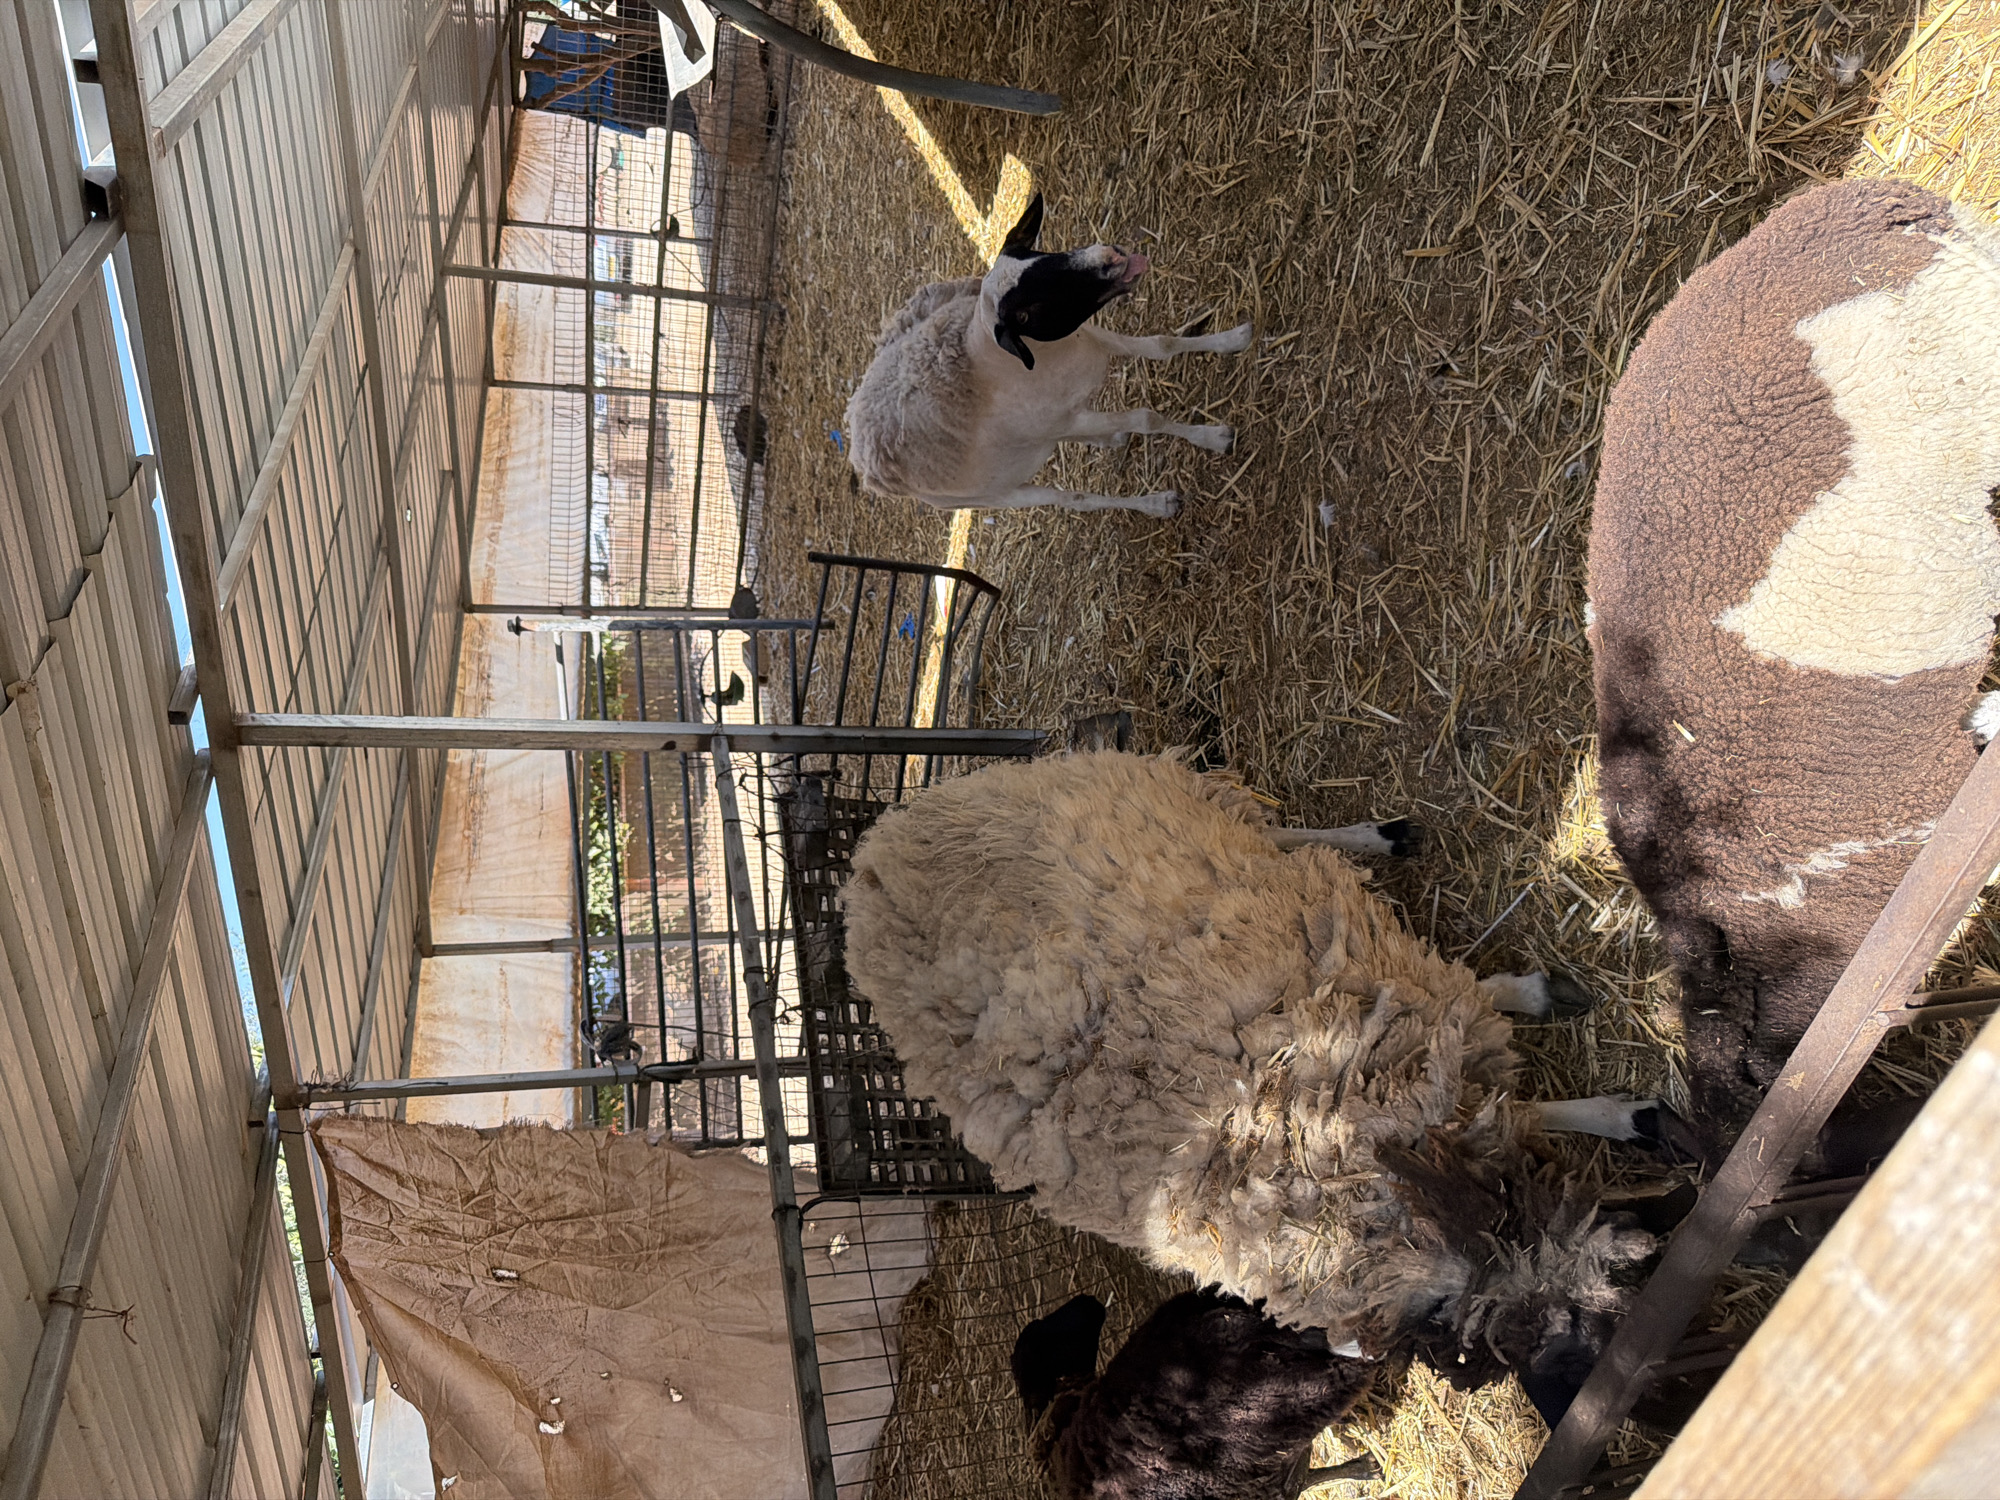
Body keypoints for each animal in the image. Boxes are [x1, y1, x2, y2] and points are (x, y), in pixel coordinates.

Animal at [839, 750, 1655, 1405]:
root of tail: (881, 844)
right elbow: (1517, 1087)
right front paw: (1615, 1108)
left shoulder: (1401, 1005)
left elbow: (1498, 1040)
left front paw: (1600, 1091)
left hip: (1166, 797)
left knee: (1271, 834)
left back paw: (1376, 838)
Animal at [842, 194, 1253, 519]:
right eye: (1031, 308)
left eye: (1041, 254)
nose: (1112, 256)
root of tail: (859, 438)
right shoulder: (1064, 419)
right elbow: (1146, 418)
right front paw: (1214, 437)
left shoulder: (1092, 339)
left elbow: (1161, 345)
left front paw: (1235, 339)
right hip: (993, 495)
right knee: (1074, 499)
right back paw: (1155, 504)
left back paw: (1113, 439)